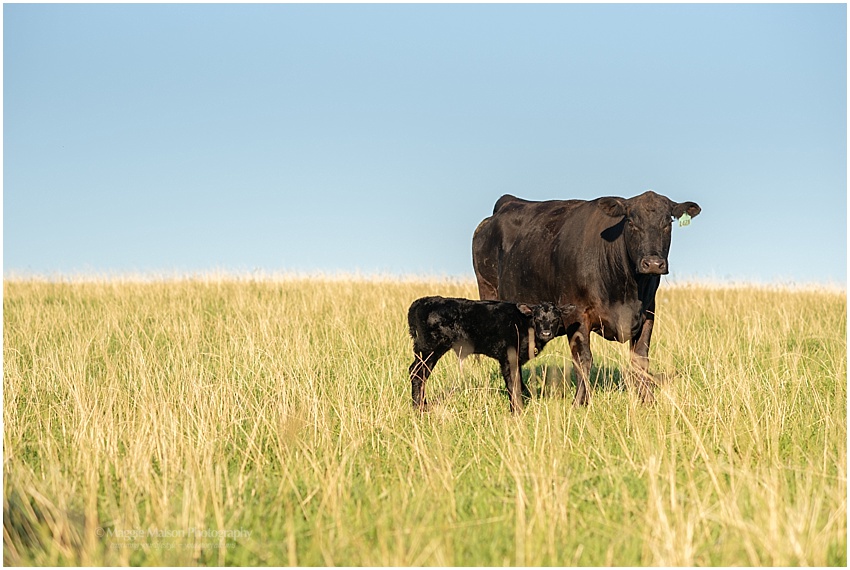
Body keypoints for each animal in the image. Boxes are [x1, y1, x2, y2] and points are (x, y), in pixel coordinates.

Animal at [407, 296, 572, 414]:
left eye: (555, 319)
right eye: (537, 318)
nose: (546, 333)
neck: (524, 324)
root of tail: (420, 302)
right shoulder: (508, 358)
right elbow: (513, 384)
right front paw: (516, 412)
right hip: (428, 349)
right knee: (417, 373)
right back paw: (419, 409)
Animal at [472, 190, 700, 405]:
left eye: (668, 223)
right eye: (631, 222)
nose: (653, 263)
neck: (627, 294)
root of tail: (508, 202)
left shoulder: (648, 313)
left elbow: (640, 359)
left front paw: (648, 400)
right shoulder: (577, 314)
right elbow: (583, 359)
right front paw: (580, 402)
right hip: (488, 290)